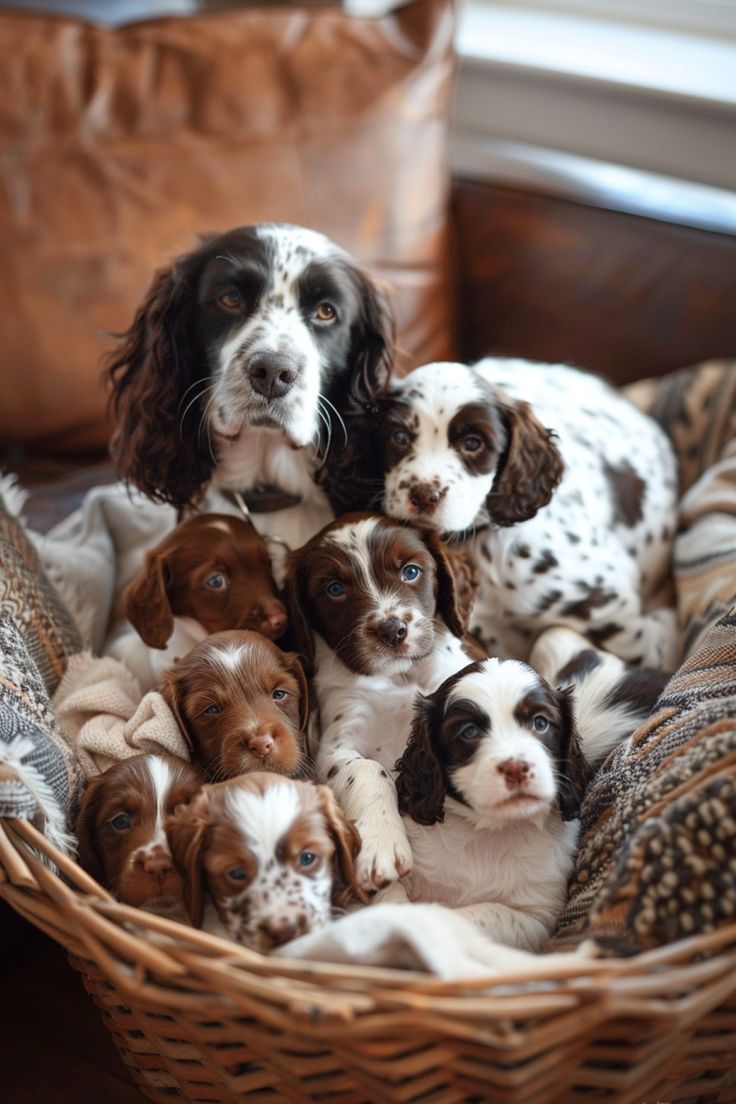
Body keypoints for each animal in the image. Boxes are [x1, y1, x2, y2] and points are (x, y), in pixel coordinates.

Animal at [284, 512, 481, 892]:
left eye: (411, 571)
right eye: (334, 589)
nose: (392, 631)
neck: (400, 675)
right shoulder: (335, 743)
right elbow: (368, 769)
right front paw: (381, 845)